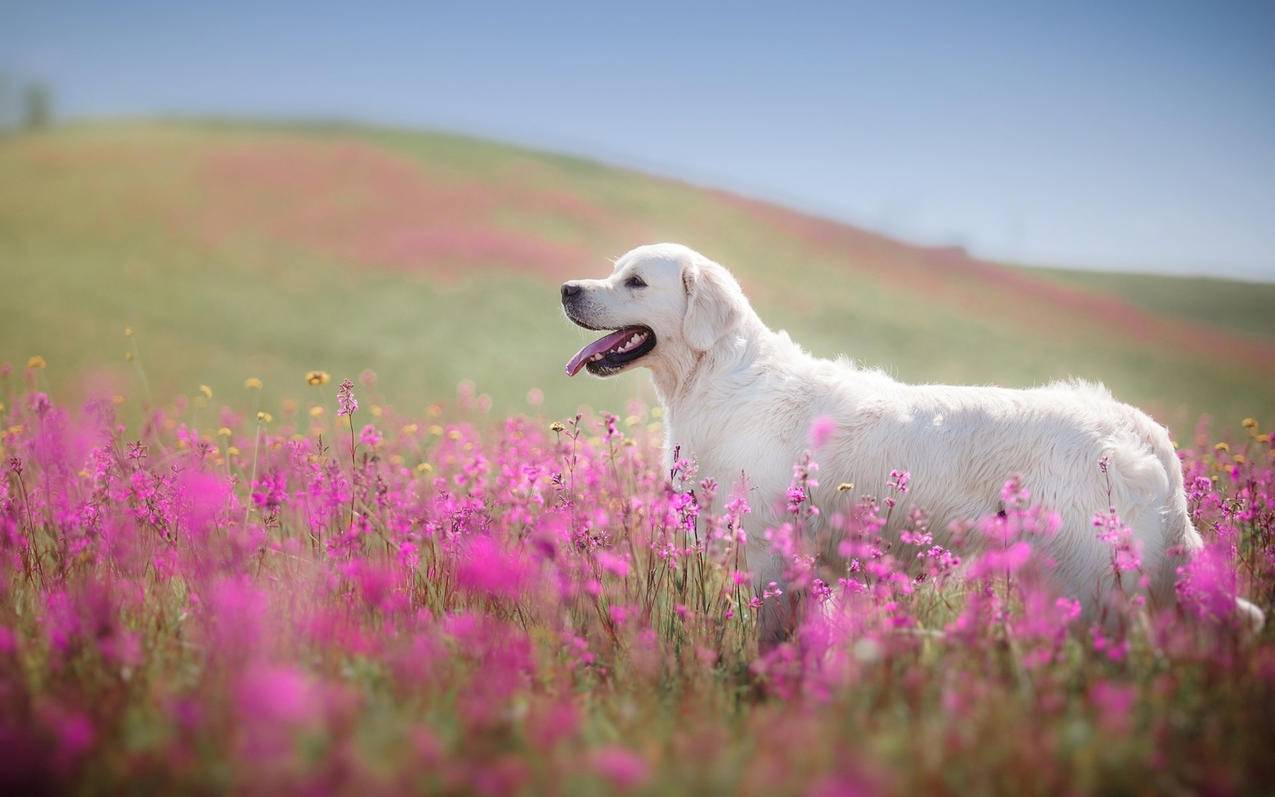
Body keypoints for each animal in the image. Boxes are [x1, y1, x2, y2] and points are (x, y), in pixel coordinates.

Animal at [563, 241, 1259, 640]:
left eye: (635, 282)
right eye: (612, 272)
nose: (568, 288)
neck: (715, 378)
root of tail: (1138, 424)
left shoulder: (768, 551)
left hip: (1088, 578)